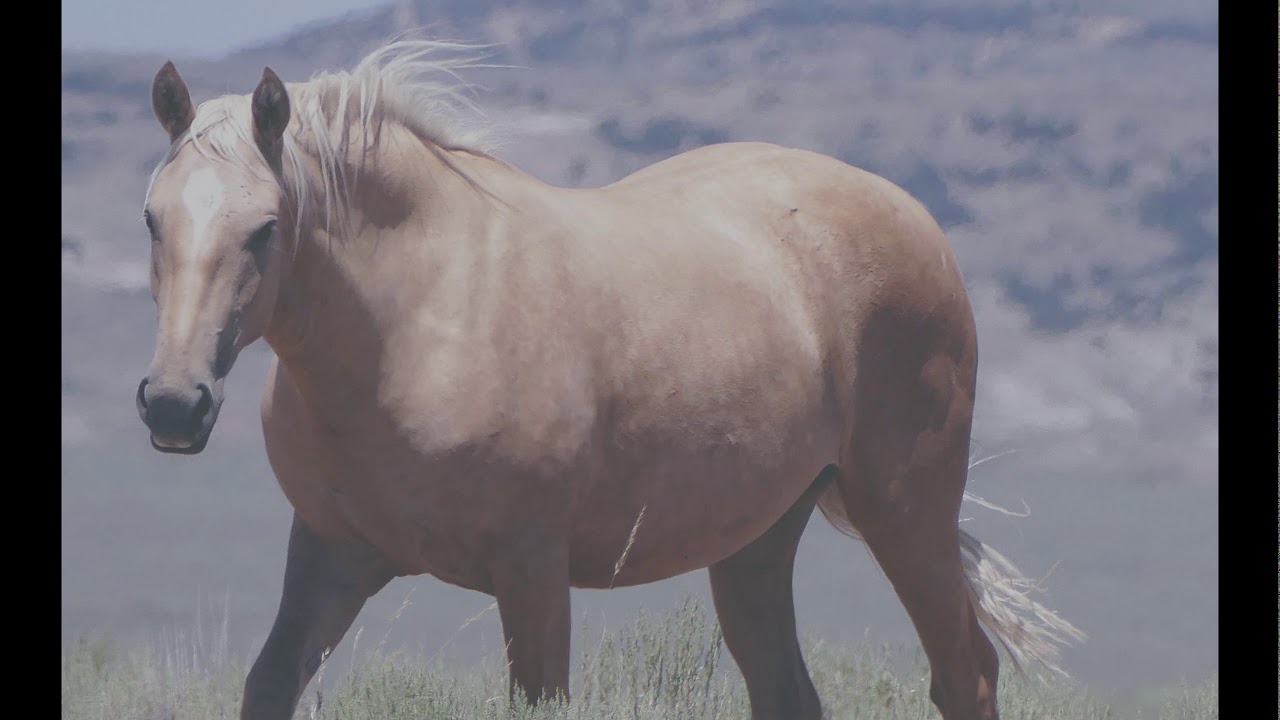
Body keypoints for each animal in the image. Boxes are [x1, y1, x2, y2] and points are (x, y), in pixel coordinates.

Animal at [134, 38, 1083, 720]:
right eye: (151, 218)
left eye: (265, 228)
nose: (176, 405)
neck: (420, 322)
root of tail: (915, 214)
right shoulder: (330, 556)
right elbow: (268, 686)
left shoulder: (531, 574)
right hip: (757, 541)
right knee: (788, 691)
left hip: (907, 512)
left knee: (966, 676)